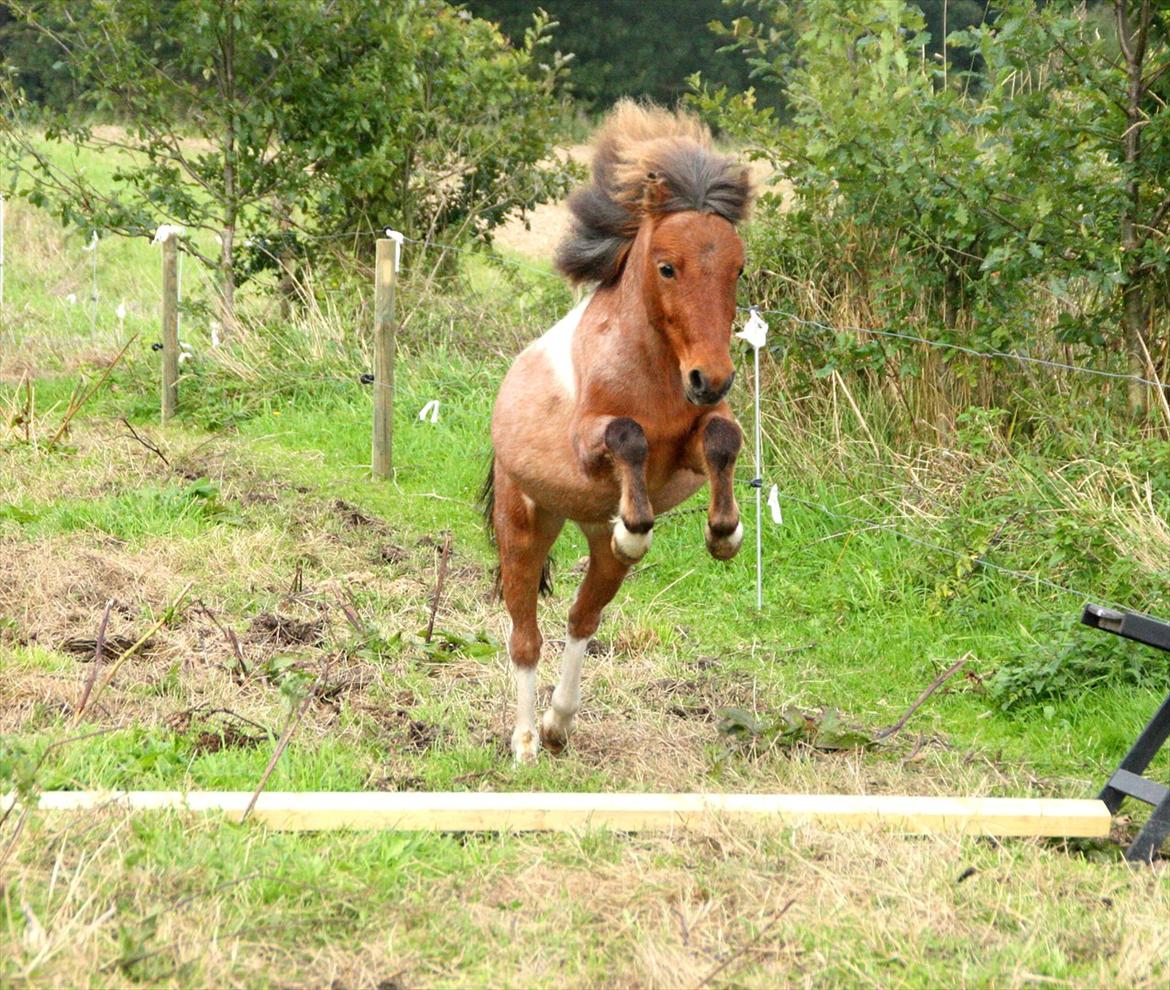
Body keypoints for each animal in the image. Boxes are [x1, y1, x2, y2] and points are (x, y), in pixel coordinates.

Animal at [486, 100, 753, 762]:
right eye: (667, 267)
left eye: (738, 268)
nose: (712, 378)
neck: (654, 371)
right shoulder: (590, 442)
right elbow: (626, 435)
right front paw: (637, 527)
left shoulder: (689, 447)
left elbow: (722, 440)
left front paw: (725, 533)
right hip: (523, 523)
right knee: (524, 634)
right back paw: (525, 742)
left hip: (592, 543)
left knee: (582, 618)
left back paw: (559, 723)